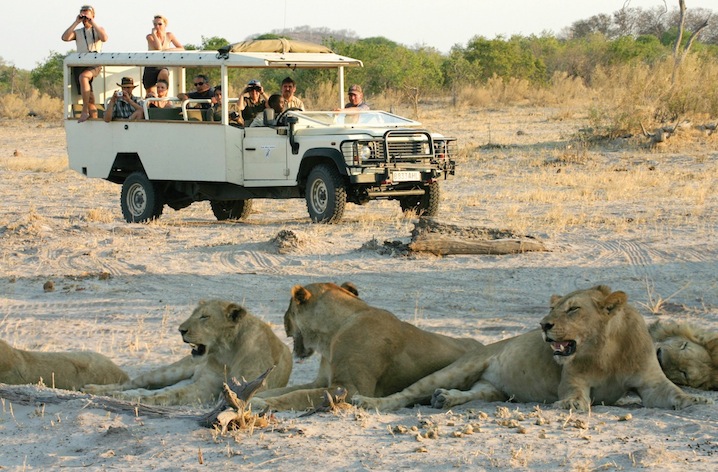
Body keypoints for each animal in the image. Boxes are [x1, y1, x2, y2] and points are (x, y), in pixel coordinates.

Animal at [85, 298, 296, 406]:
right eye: (193, 314)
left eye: (204, 317)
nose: (181, 330)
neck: (227, 353)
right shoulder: (206, 385)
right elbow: (170, 395)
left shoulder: (229, 390)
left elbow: (169, 395)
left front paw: (141, 399)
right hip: (169, 372)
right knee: (131, 383)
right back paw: (95, 389)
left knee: (151, 388)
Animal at [252, 282, 484, 412]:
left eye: (289, 308)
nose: (283, 322)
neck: (331, 334)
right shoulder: (320, 381)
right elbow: (286, 389)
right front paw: (256, 397)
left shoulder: (350, 388)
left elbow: (297, 395)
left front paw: (261, 404)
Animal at [354, 286, 716, 412]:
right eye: (553, 307)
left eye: (573, 309)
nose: (543, 325)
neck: (606, 351)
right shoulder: (573, 379)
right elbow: (575, 394)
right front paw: (571, 407)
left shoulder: (650, 382)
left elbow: (672, 395)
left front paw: (696, 400)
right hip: (461, 367)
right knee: (405, 394)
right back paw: (368, 402)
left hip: (493, 390)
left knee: (476, 393)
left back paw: (446, 399)